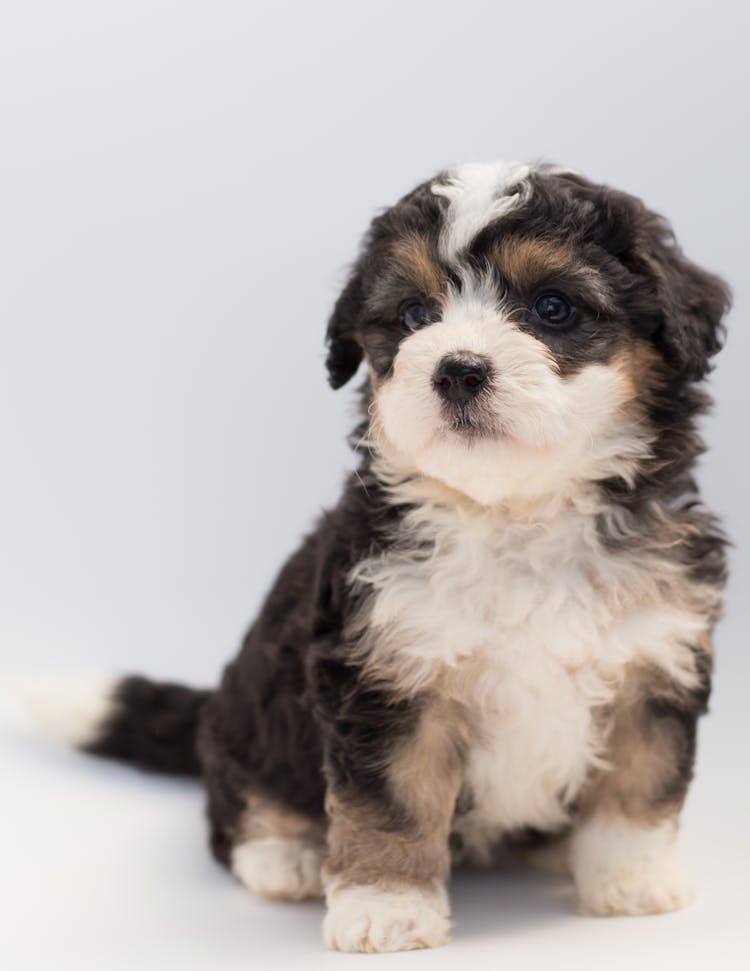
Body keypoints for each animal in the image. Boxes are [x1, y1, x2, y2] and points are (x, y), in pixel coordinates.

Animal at [32, 163, 732, 952]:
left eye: (553, 307)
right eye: (415, 314)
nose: (457, 371)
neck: (515, 518)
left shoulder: (654, 659)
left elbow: (641, 779)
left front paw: (631, 879)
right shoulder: (386, 679)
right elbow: (390, 803)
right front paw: (385, 905)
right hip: (250, 723)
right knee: (238, 803)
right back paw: (284, 853)